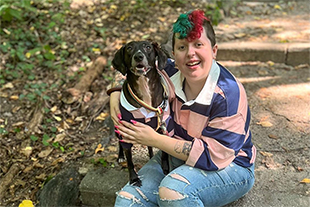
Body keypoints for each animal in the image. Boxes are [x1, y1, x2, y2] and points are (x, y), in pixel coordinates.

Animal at [112, 40, 172, 186]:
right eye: (129, 48)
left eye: (148, 47)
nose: (138, 56)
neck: (144, 86)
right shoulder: (126, 129)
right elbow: (130, 161)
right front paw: (134, 178)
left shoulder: (165, 128)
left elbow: (164, 152)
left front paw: (165, 167)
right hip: (118, 127)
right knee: (120, 143)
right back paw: (120, 156)